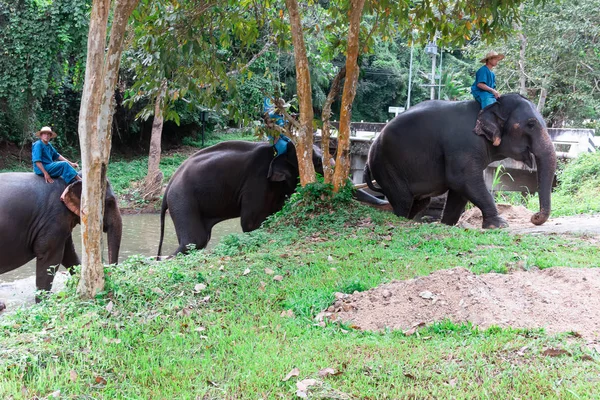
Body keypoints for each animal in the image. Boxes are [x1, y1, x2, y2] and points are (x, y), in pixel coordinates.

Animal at [0, 173, 123, 306]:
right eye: (109, 202)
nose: (109, 275)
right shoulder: (54, 219)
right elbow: (52, 259)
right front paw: (43, 305)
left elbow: (68, 254)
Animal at [366, 93, 556, 228]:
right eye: (531, 124)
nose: (534, 217)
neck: (490, 105)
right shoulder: (464, 145)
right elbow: (462, 180)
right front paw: (500, 225)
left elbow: (459, 190)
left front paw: (447, 224)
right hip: (387, 167)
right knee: (403, 200)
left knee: (419, 203)